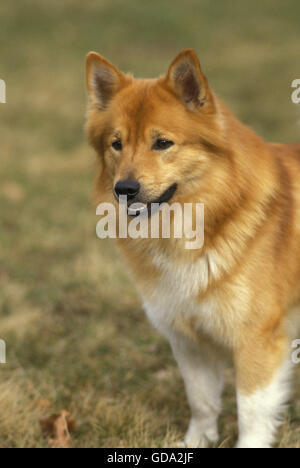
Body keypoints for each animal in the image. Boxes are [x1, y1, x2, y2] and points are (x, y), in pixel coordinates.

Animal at [84, 49, 300, 448]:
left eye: (163, 143)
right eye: (116, 143)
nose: (124, 189)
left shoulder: (257, 340)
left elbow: (251, 413)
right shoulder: (188, 337)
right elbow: (201, 399)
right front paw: (196, 442)